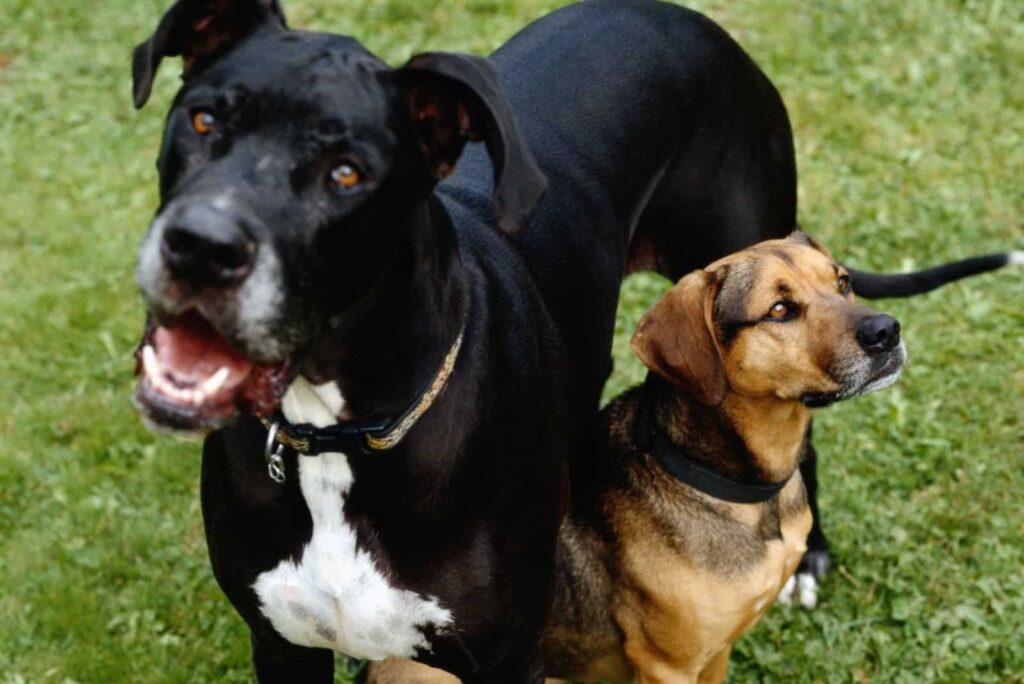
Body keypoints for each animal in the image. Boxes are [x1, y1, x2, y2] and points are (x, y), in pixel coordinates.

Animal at [366, 232, 905, 679]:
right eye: (778, 309)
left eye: (843, 282)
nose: (888, 330)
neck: (738, 488)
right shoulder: (669, 664)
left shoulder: (717, 650)